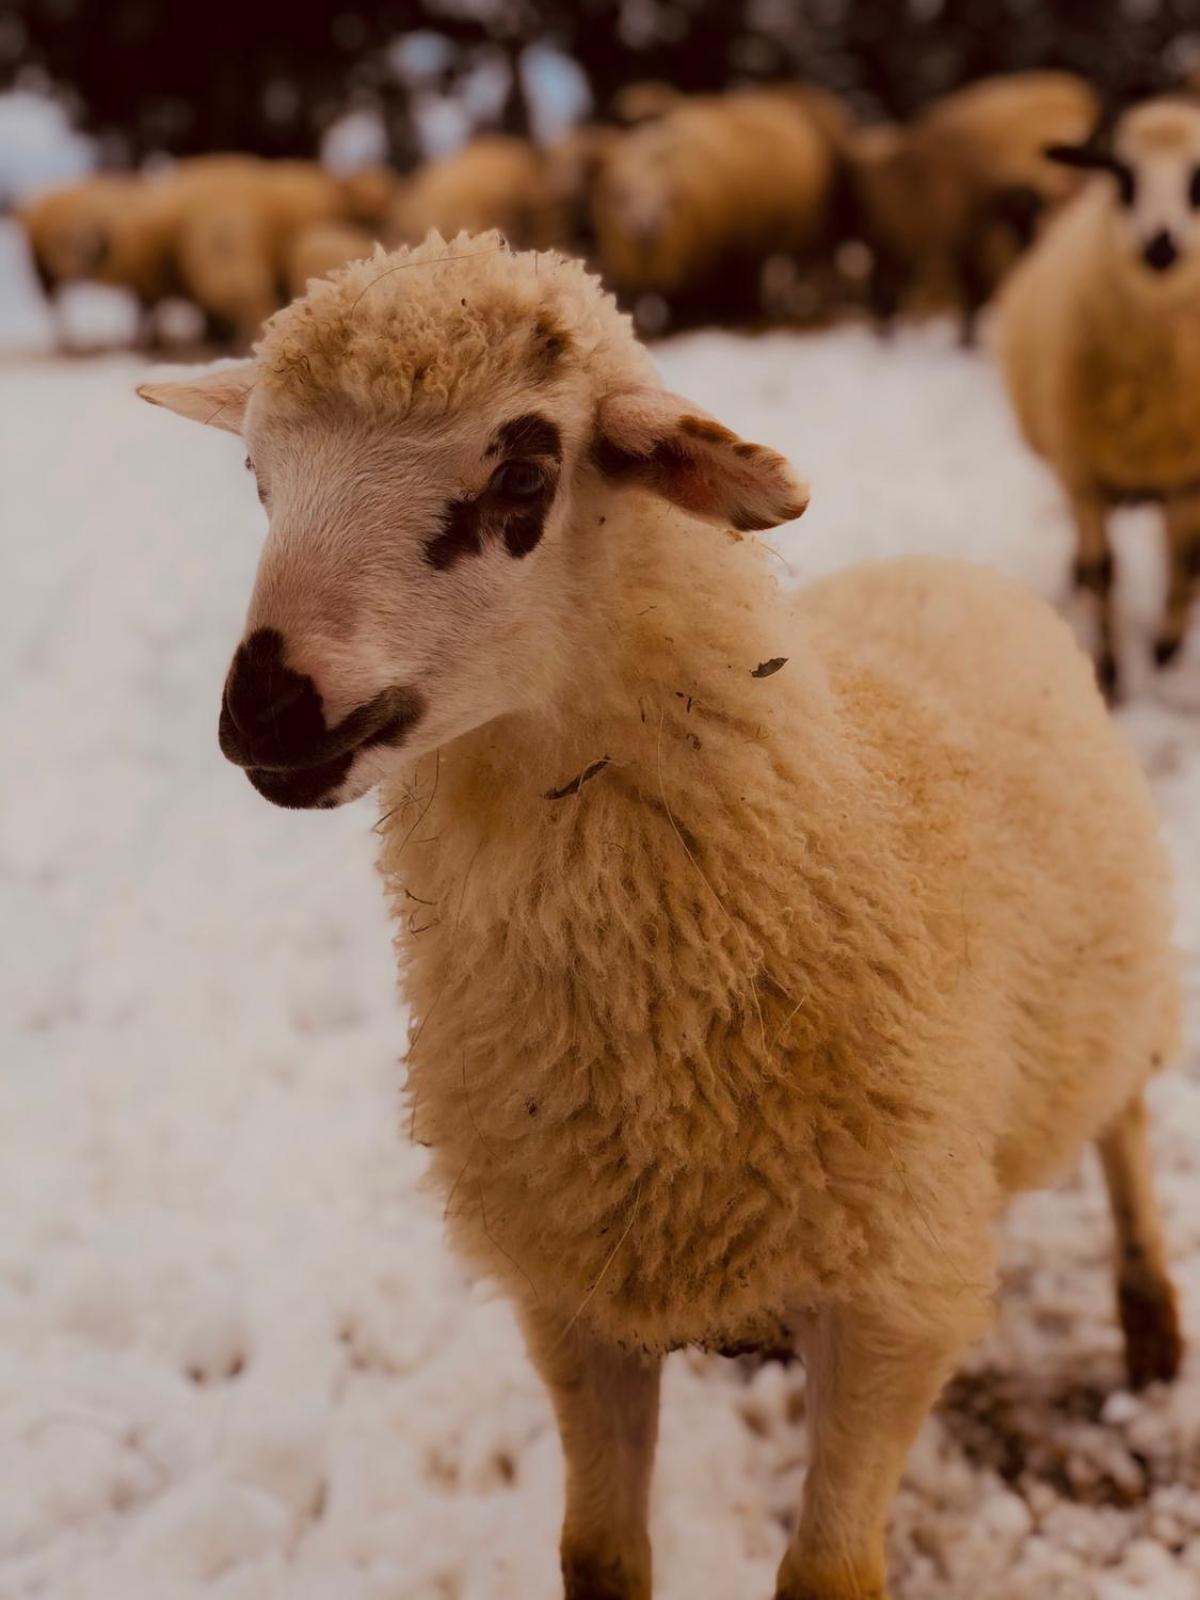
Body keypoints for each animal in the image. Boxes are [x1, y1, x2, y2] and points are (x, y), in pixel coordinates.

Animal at [138, 228, 1184, 1600]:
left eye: (524, 470)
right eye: (259, 477)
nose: (262, 708)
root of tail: (942, 567)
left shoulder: (893, 1306)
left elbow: (827, 1573)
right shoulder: (575, 1297)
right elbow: (598, 1554)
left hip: (1120, 991)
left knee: (1123, 1128)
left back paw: (1152, 1319)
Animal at [998, 96, 1200, 700]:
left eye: (1198, 181)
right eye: (1125, 177)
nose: (1162, 244)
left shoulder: (1187, 475)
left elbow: (1186, 559)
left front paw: (1165, 650)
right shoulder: (1082, 470)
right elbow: (1104, 569)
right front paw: (1110, 670)